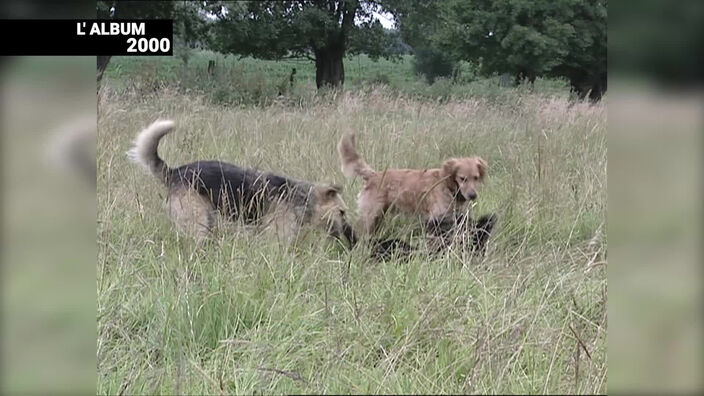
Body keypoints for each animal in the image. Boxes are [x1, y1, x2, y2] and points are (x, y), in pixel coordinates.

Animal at [338, 135, 486, 237]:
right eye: (462, 178)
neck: (447, 185)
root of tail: (374, 175)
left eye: (476, 178)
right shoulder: (436, 219)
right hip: (371, 215)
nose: (473, 195)